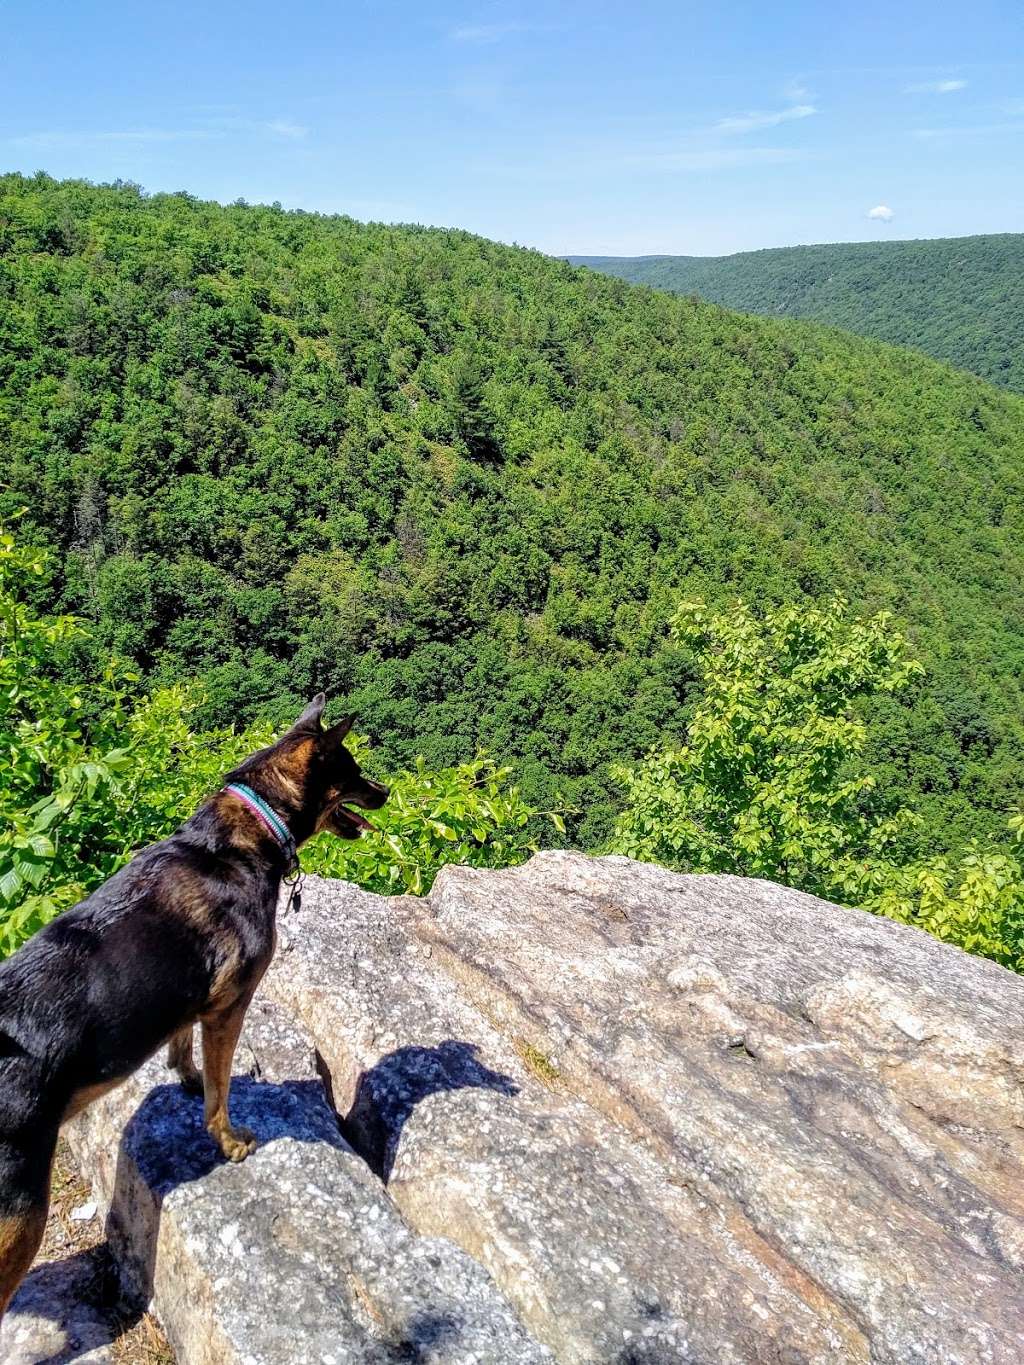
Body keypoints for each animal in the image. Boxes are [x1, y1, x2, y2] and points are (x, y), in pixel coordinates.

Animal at [0, 693, 387, 1321]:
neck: (249, 830)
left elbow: (184, 1046)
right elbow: (220, 1090)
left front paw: (184, 1074)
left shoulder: (194, 997)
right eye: (352, 773)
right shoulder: (232, 1004)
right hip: (18, 1222)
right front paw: (227, 1142)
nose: (386, 792)